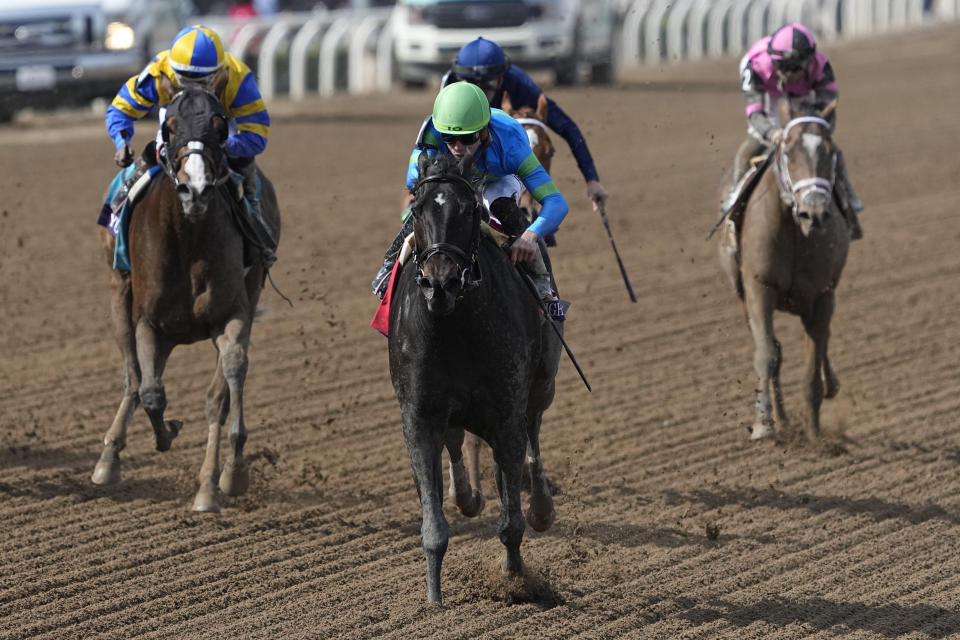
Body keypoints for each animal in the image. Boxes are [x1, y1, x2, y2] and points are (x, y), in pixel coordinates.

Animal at [91, 82, 282, 512]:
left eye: (219, 124)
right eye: (171, 125)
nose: (194, 188)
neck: (188, 236)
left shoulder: (234, 313)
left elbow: (227, 380)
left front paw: (227, 476)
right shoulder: (148, 320)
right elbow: (150, 392)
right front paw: (168, 432)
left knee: (213, 389)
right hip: (118, 294)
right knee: (134, 378)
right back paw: (108, 459)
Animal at [386, 151, 560, 604]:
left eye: (468, 210)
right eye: (417, 209)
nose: (440, 283)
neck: (454, 327)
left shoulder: (506, 412)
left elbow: (511, 521)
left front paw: (515, 579)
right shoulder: (418, 416)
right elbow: (433, 525)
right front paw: (434, 598)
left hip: (543, 382)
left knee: (533, 434)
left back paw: (541, 506)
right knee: (457, 440)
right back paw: (465, 495)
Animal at [716, 100, 852, 442]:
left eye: (830, 151)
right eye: (788, 151)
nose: (814, 211)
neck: (794, 229)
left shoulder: (822, 295)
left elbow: (812, 363)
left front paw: (815, 434)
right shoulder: (758, 287)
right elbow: (768, 354)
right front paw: (764, 423)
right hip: (742, 295)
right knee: (772, 349)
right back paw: (781, 418)